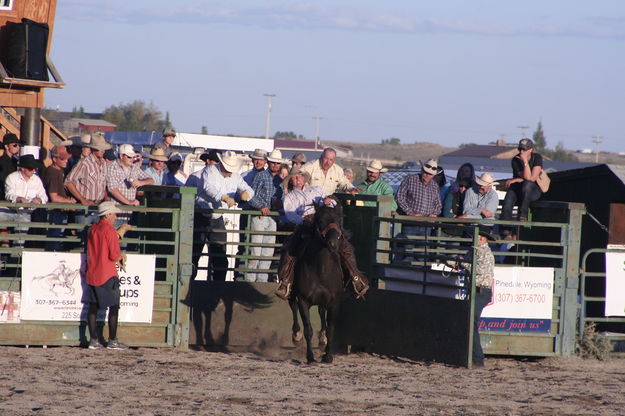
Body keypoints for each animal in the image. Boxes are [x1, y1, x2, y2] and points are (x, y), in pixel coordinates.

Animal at [288, 203, 344, 362]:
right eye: (320, 220)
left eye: (339, 220)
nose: (333, 244)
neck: (321, 269)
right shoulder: (303, 300)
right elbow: (308, 329)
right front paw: (310, 357)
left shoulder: (334, 302)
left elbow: (331, 329)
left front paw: (328, 356)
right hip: (292, 293)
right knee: (292, 306)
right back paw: (296, 335)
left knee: (321, 312)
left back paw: (322, 339)